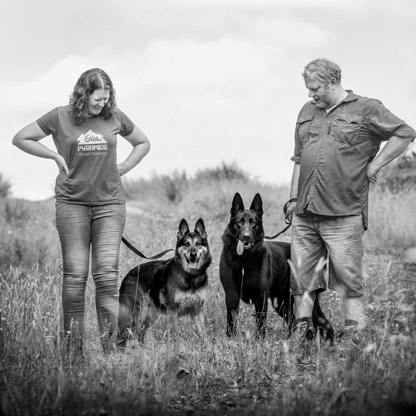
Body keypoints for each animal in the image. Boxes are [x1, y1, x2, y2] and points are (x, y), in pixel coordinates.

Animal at [219, 193, 334, 340]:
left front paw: (259, 342)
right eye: (239, 222)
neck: (243, 261)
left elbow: (260, 324)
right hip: (281, 304)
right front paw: (230, 340)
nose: (246, 237)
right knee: (296, 321)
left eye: (253, 223)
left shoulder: (260, 298)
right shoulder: (231, 295)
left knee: (321, 323)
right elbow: (231, 322)